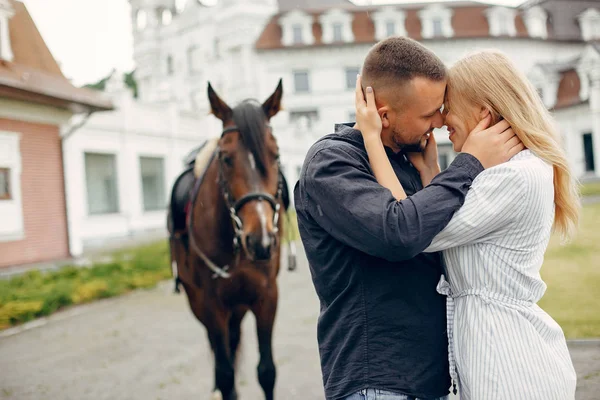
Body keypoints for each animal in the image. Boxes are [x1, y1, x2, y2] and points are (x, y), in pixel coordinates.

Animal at [168, 79, 290, 400]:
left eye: (275, 155)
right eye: (225, 158)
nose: (261, 241)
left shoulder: (266, 296)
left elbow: (267, 371)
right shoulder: (212, 306)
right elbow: (225, 375)